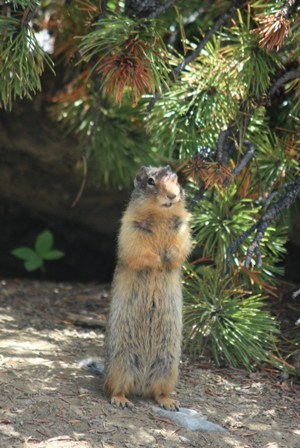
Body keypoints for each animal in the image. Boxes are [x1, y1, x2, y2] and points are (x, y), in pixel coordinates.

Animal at [103, 166, 192, 412]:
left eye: (177, 180)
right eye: (151, 181)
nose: (172, 195)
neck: (161, 216)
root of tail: (141, 385)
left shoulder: (183, 228)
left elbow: (181, 249)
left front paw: (168, 258)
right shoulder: (131, 226)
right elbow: (138, 250)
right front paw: (158, 260)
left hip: (168, 366)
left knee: (158, 391)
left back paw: (169, 402)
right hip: (121, 362)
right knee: (115, 388)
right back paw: (121, 400)